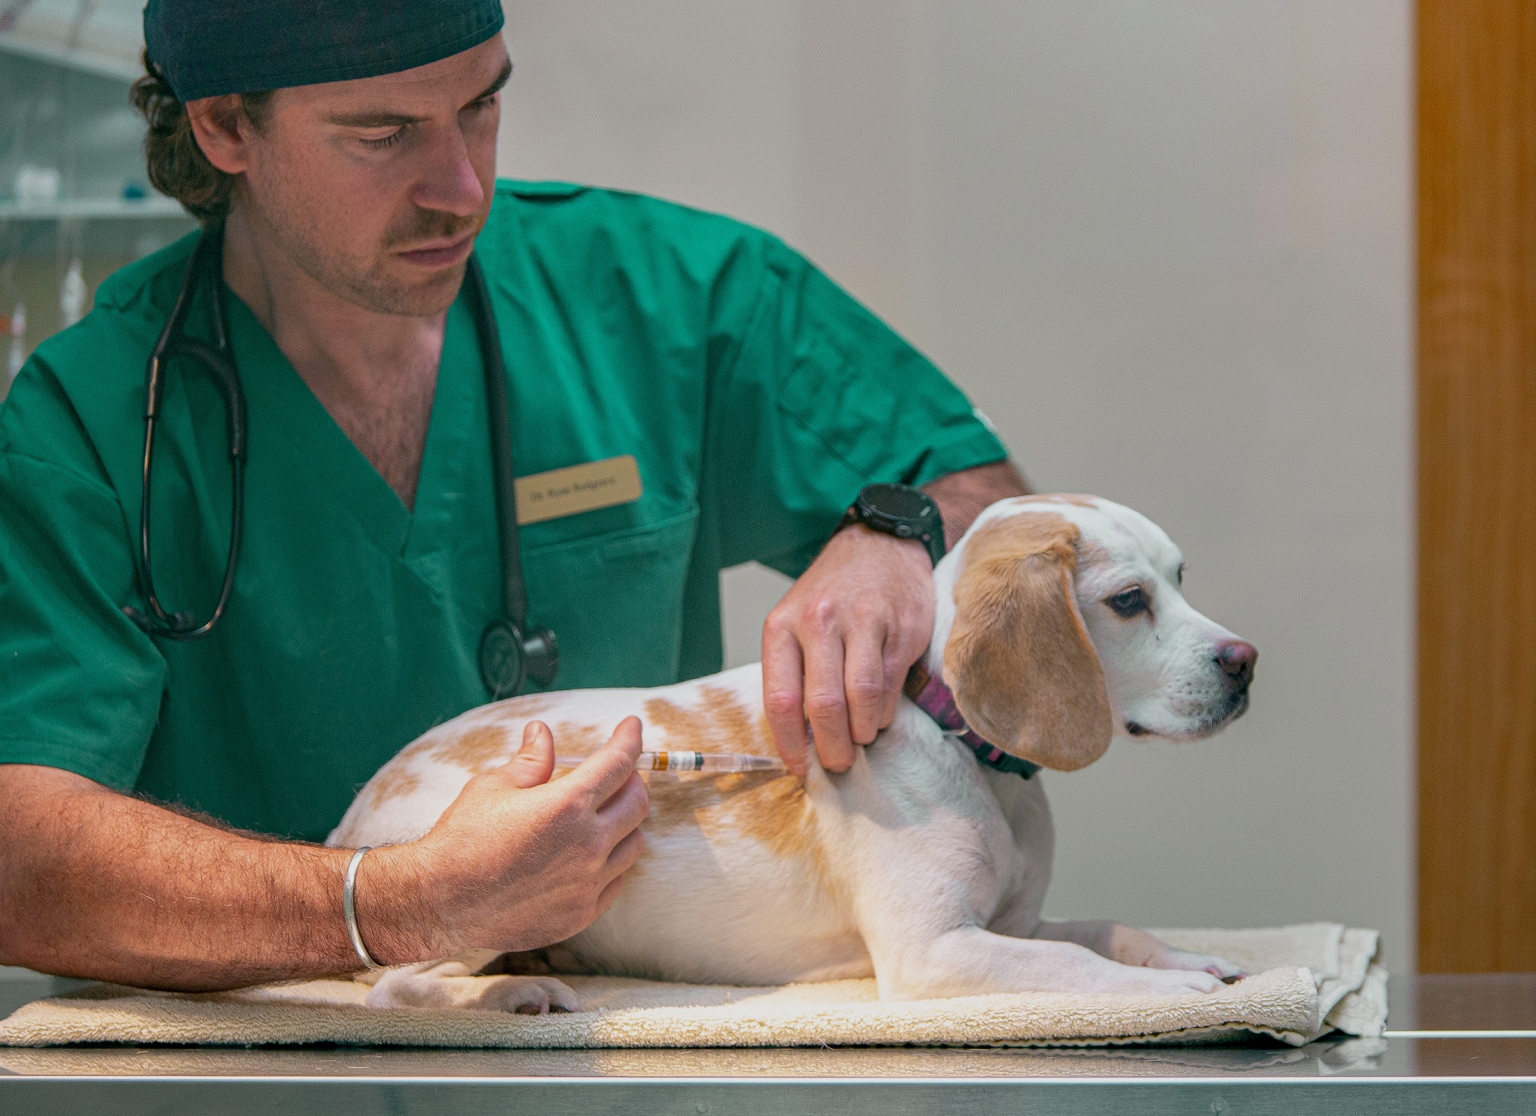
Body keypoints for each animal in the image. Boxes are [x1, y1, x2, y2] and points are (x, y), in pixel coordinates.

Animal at [330, 497, 1253, 1013]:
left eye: (1180, 577)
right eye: (1128, 601)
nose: (1246, 661)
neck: (973, 756)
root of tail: (351, 817)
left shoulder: (1009, 925)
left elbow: (1105, 931)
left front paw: (1186, 959)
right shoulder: (936, 950)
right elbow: (1072, 961)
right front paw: (1174, 991)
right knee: (393, 986)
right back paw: (512, 991)